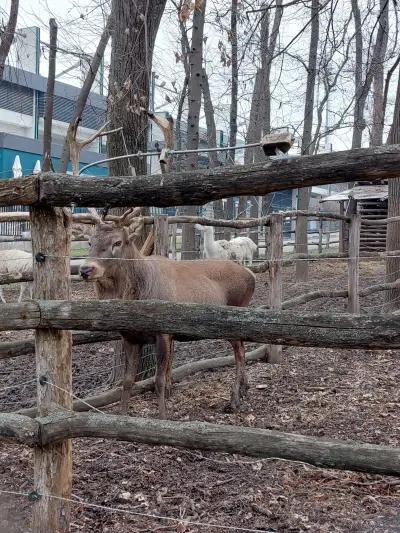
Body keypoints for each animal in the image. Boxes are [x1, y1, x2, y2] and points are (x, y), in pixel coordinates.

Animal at [80, 208, 256, 416]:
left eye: (117, 242)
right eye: (90, 242)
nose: (85, 269)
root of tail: (251, 275)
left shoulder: (163, 333)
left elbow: (159, 380)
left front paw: (163, 415)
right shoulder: (130, 337)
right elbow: (127, 381)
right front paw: (123, 415)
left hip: (235, 315)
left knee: (240, 352)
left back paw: (235, 399)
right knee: (242, 348)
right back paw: (244, 389)